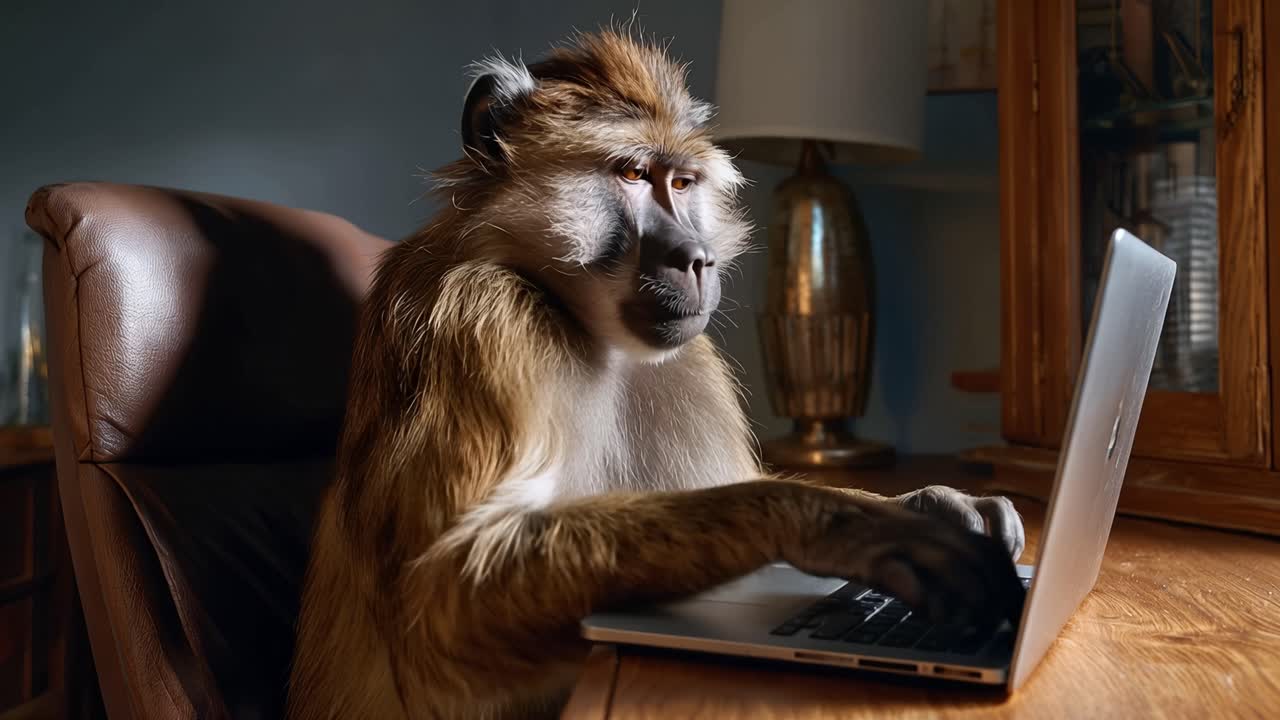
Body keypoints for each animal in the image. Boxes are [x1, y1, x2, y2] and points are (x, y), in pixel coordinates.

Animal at [287, 29, 1026, 720]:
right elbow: (447, 597)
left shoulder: (685, 359)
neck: (581, 327)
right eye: (636, 175)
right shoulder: (481, 318)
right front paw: (843, 520)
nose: (697, 259)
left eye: (684, 183)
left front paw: (937, 502)